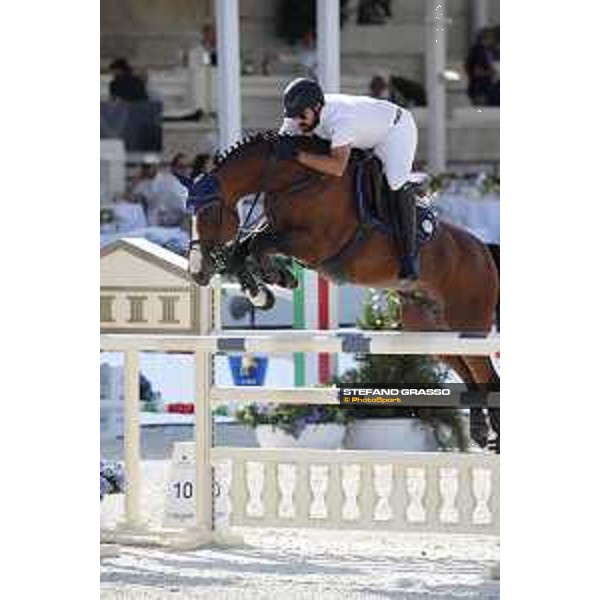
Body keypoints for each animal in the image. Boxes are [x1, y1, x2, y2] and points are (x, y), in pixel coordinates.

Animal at [182, 132, 500, 449]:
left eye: (209, 211)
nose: (198, 272)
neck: (295, 179)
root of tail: (483, 249)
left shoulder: (317, 243)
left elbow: (259, 244)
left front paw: (277, 277)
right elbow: (244, 248)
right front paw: (263, 291)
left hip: (467, 323)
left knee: (486, 374)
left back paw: (494, 435)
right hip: (430, 331)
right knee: (471, 373)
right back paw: (481, 431)